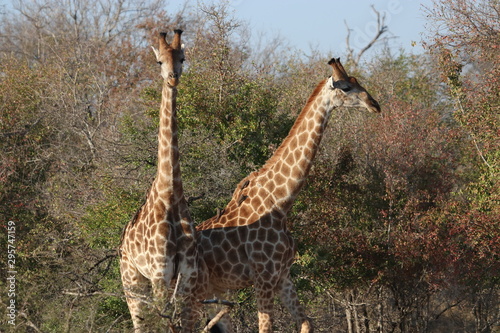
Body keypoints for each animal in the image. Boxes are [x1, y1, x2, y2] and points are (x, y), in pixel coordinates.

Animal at [119, 29, 205, 330]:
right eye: (159, 61)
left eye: (182, 58)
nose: (172, 77)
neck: (170, 192)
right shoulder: (159, 273)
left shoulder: (187, 274)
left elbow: (185, 324)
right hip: (132, 280)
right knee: (140, 322)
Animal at [195, 58, 378, 330]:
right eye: (345, 87)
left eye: (357, 81)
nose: (374, 104)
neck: (280, 203)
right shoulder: (264, 277)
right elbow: (266, 327)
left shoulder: (283, 275)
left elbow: (306, 323)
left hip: (211, 293)